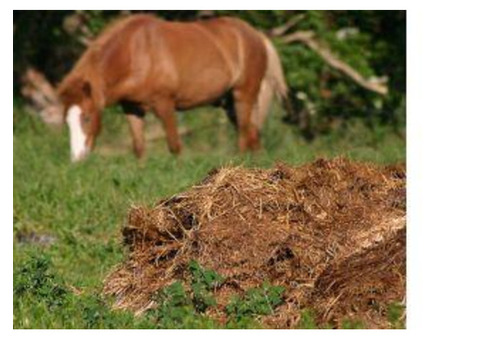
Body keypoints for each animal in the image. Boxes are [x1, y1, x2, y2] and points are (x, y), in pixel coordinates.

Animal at [57, 15, 288, 163]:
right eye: (66, 121)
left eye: (87, 117)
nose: (77, 158)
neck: (135, 52)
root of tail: (257, 35)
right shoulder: (132, 108)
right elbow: (139, 147)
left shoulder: (165, 104)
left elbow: (174, 145)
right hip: (229, 103)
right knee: (253, 136)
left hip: (243, 95)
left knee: (243, 134)